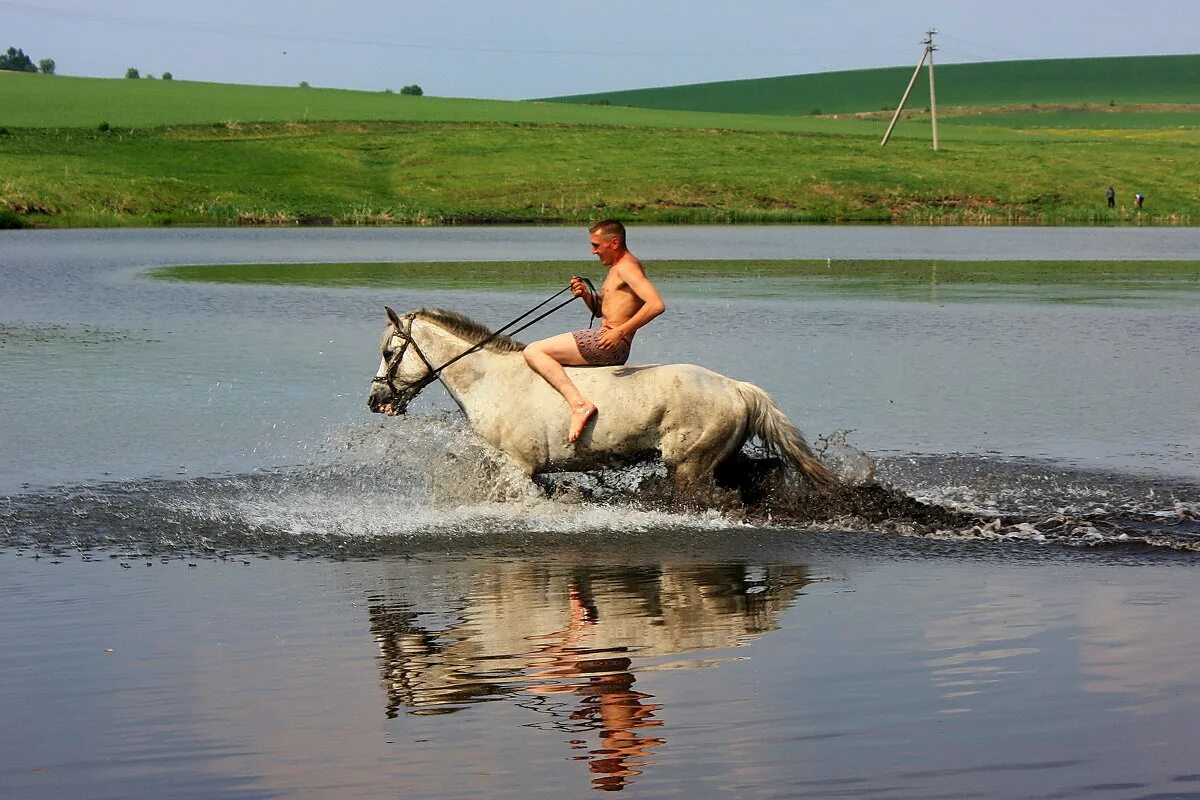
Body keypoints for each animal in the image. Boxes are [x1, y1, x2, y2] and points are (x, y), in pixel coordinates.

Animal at [364, 307, 835, 491]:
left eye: (388, 352)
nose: (375, 400)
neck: (489, 380)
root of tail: (735, 386)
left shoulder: (519, 467)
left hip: (689, 466)